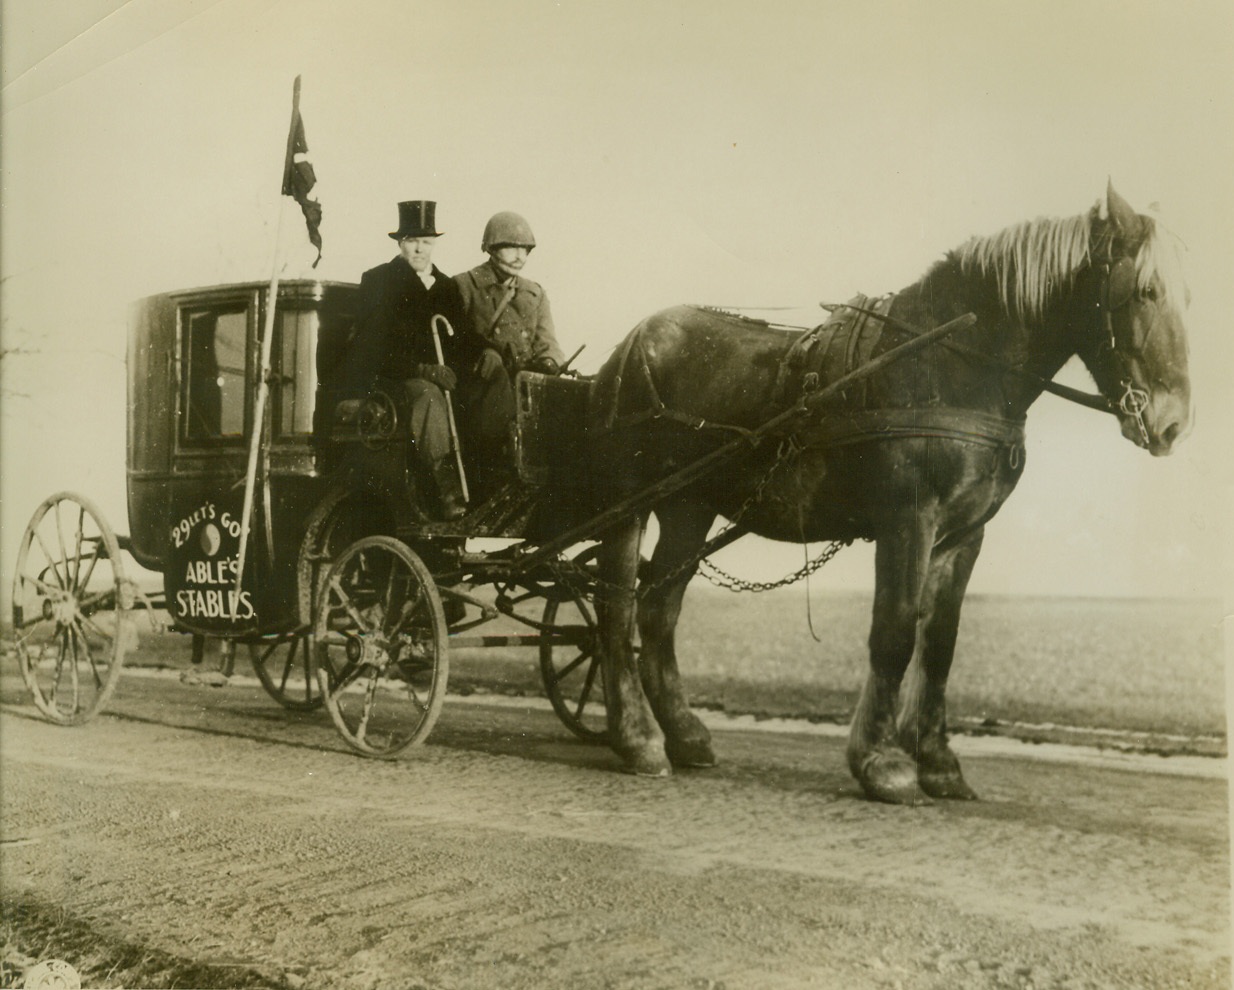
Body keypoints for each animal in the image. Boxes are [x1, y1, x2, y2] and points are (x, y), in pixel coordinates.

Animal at [587, 182, 1194, 799]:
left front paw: (939, 763)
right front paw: (881, 762)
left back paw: (685, 737)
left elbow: (939, 644)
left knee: (658, 611)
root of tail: (631, 345)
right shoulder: (908, 519)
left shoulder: (963, 535)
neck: (951, 366)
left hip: (690, 506)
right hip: (627, 504)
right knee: (616, 606)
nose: (1173, 423)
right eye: (1146, 291)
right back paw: (638, 739)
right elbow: (895, 631)